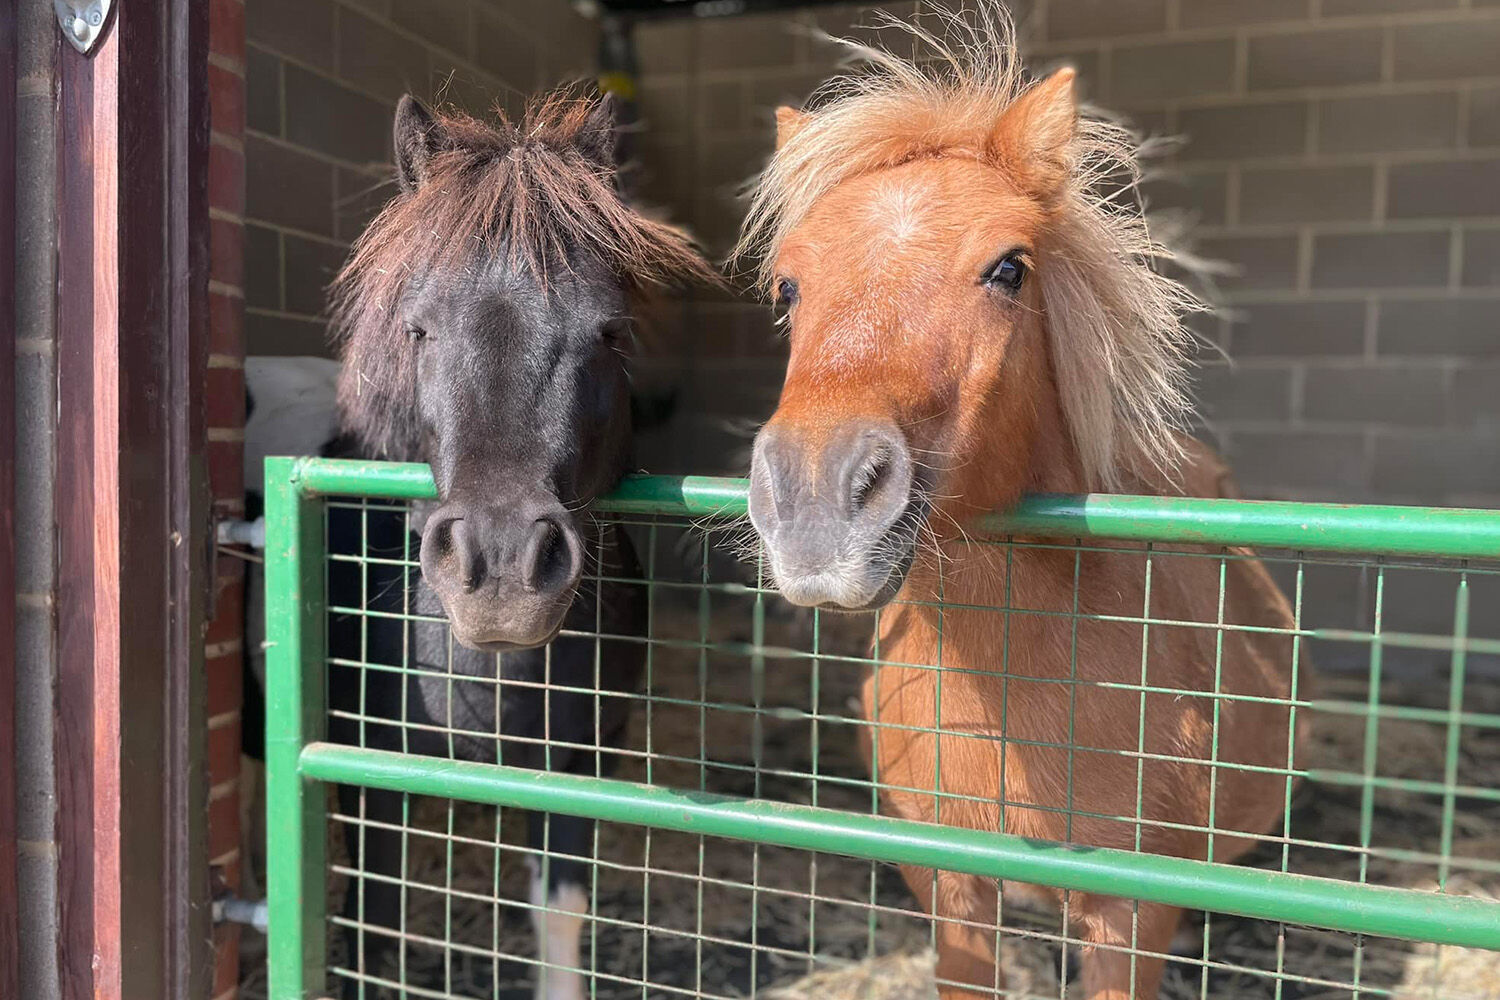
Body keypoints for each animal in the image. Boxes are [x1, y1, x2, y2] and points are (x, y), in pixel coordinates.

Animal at [325, 89, 711, 995]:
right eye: (418, 330)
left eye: (610, 331)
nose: (501, 569)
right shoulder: (366, 770)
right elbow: (371, 914)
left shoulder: (575, 767)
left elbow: (560, 912)